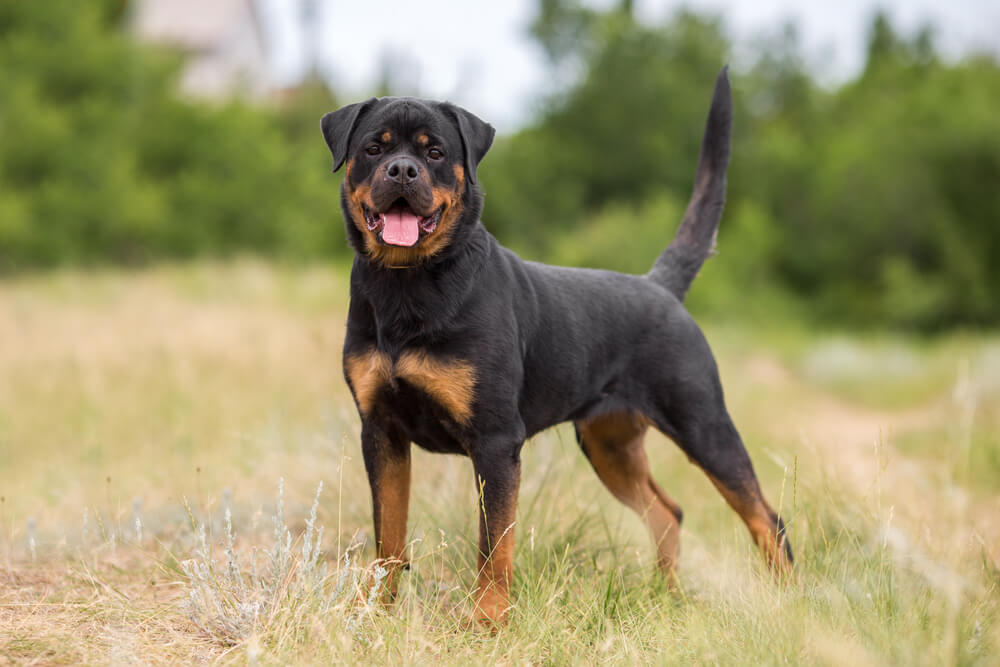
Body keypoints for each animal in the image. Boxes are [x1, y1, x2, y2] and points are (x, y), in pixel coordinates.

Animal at [324, 68, 792, 628]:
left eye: (434, 152)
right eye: (374, 147)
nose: (401, 170)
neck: (408, 284)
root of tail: (660, 287)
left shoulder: (496, 440)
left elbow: (493, 544)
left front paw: (487, 621)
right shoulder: (382, 430)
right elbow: (389, 537)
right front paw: (374, 611)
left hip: (705, 426)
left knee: (768, 520)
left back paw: (789, 605)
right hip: (609, 444)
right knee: (667, 512)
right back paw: (665, 598)